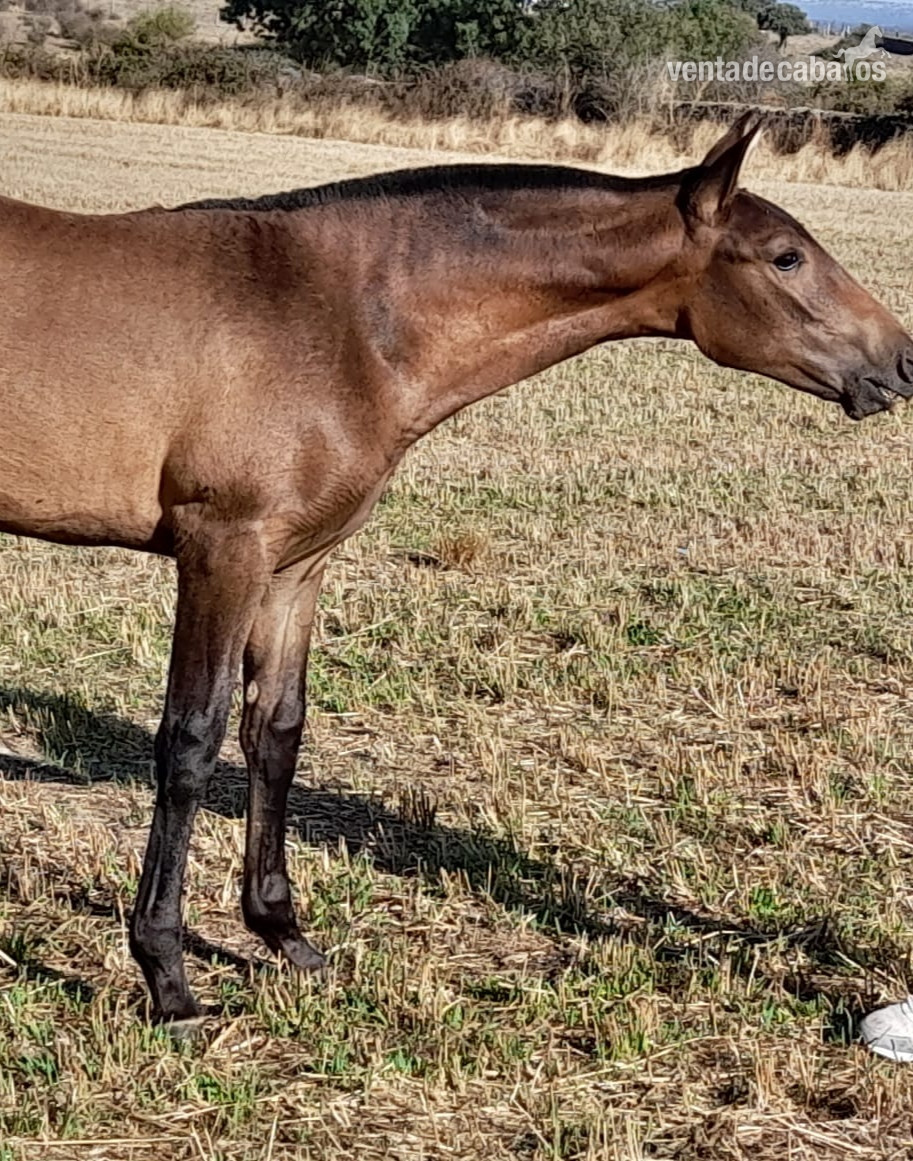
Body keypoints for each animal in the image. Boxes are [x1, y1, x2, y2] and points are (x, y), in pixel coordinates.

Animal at [1, 114, 911, 1024]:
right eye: (785, 256)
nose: (900, 360)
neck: (334, 319)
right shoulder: (224, 551)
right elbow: (191, 741)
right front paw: (167, 976)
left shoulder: (296, 566)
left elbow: (276, 731)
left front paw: (284, 934)